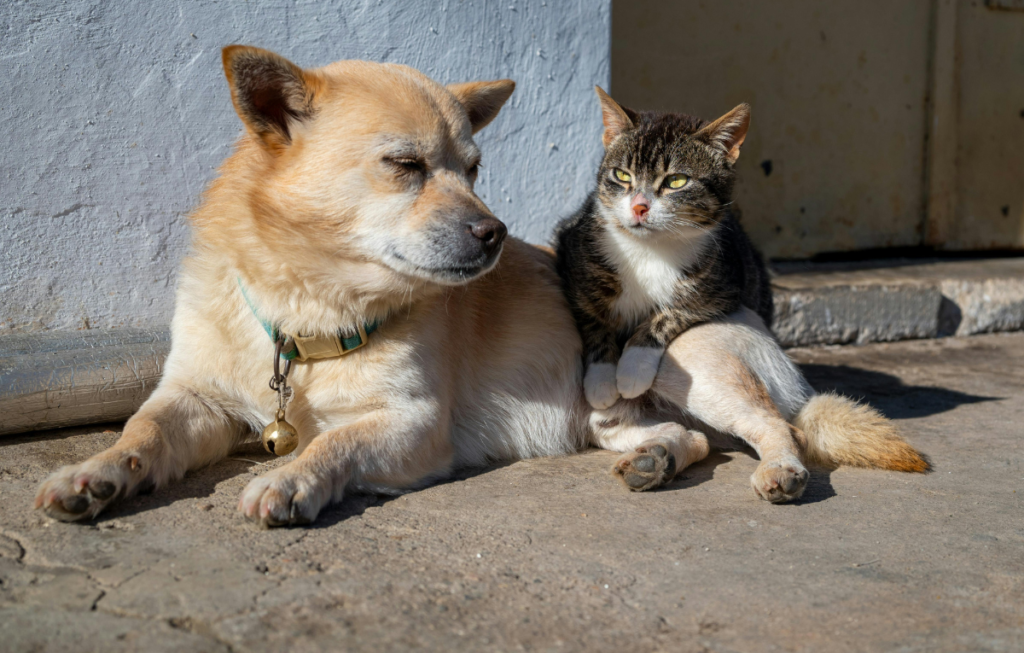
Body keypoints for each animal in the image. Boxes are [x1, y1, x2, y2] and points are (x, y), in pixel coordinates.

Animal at [555, 87, 773, 410]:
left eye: (676, 181)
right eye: (622, 175)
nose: (639, 206)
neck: (649, 249)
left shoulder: (725, 287)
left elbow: (673, 313)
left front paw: (633, 368)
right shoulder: (572, 259)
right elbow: (593, 318)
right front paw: (602, 381)